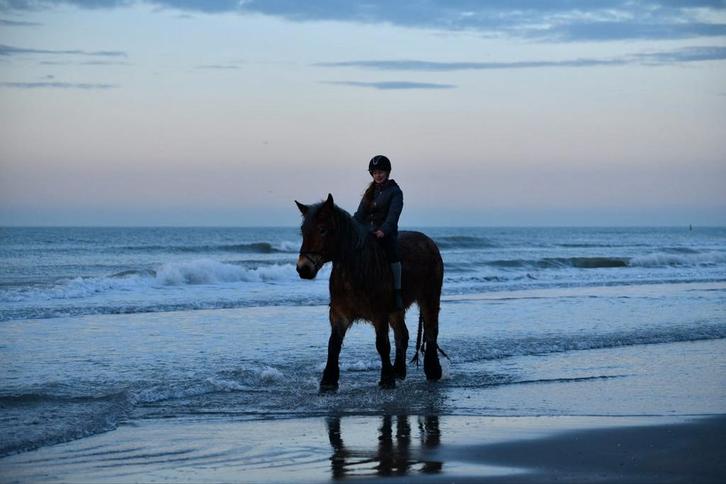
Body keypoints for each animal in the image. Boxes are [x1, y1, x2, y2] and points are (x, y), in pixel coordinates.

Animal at [294, 193, 444, 391]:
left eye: (322, 230)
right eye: (303, 230)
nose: (303, 269)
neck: (357, 269)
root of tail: (429, 242)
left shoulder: (379, 313)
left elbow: (382, 344)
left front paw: (386, 379)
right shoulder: (338, 314)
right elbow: (333, 344)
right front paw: (328, 381)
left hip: (429, 297)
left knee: (431, 330)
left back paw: (432, 370)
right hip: (396, 310)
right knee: (402, 335)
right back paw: (399, 371)